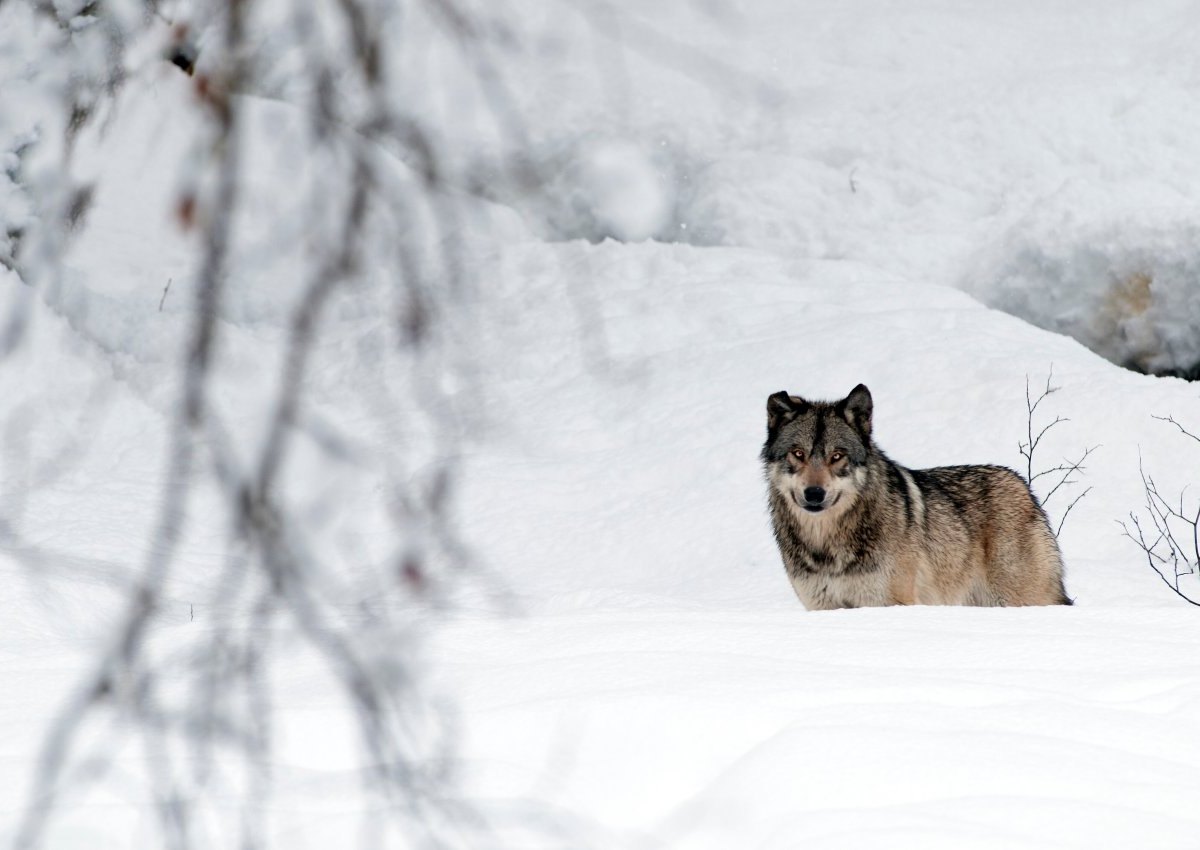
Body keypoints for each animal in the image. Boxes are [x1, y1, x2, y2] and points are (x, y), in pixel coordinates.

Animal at [758, 384, 1070, 609]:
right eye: (798, 453)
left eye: (837, 456)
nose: (814, 493)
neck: (825, 545)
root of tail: (1022, 485)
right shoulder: (822, 607)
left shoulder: (888, 603)